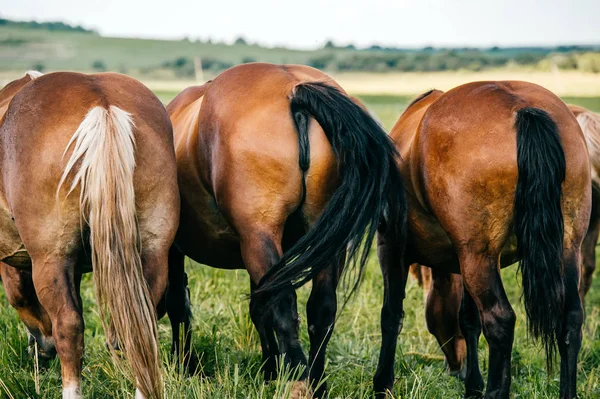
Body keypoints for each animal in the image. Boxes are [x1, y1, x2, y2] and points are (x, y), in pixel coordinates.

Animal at [166, 62, 406, 396]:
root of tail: (295, 90)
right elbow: (257, 307)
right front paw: (269, 370)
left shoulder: (177, 248)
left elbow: (179, 302)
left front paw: (185, 366)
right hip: (322, 247)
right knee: (321, 309)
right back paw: (317, 382)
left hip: (259, 237)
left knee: (283, 306)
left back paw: (298, 381)